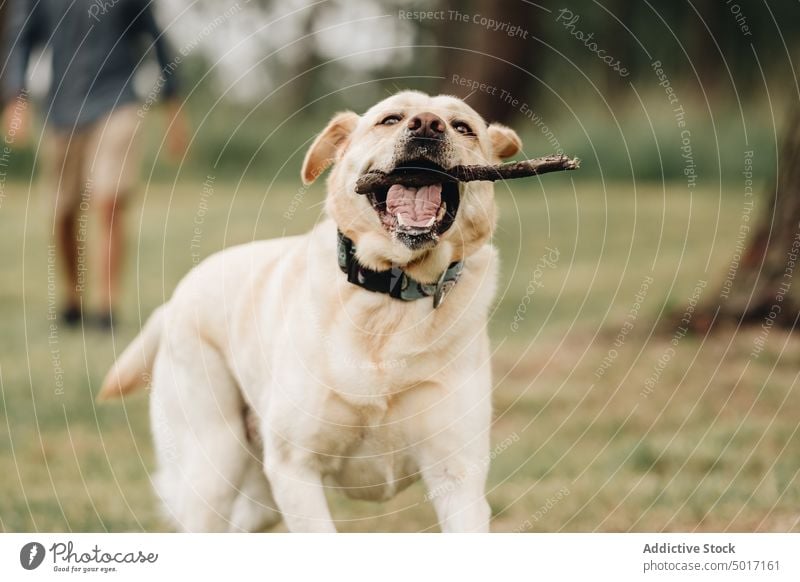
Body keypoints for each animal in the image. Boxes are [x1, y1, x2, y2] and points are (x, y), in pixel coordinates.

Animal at [100, 90, 520, 532]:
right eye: (390, 119)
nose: (427, 125)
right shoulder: (294, 467)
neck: (390, 297)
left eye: (462, 127)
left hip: (260, 496)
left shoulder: (457, 474)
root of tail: (173, 300)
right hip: (216, 463)